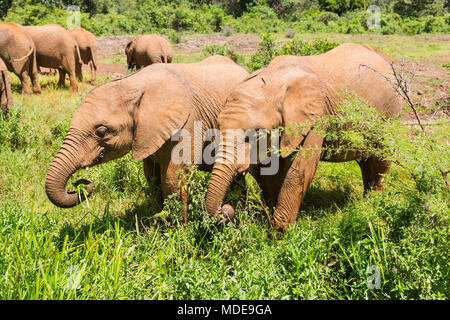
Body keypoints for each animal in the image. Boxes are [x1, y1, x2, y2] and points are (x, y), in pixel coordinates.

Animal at [44, 55, 250, 222]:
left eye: (101, 132)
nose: (81, 184)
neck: (132, 85)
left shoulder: (189, 123)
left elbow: (172, 179)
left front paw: (178, 232)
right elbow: (152, 176)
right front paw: (159, 222)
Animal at [206, 43, 402, 231]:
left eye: (257, 133)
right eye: (218, 127)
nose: (226, 209)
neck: (274, 80)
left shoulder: (317, 116)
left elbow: (299, 170)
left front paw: (280, 232)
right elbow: (269, 172)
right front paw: (270, 222)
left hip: (388, 114)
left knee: (380, 160)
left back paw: (375, 204)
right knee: (366, 161)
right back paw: (366, 201)